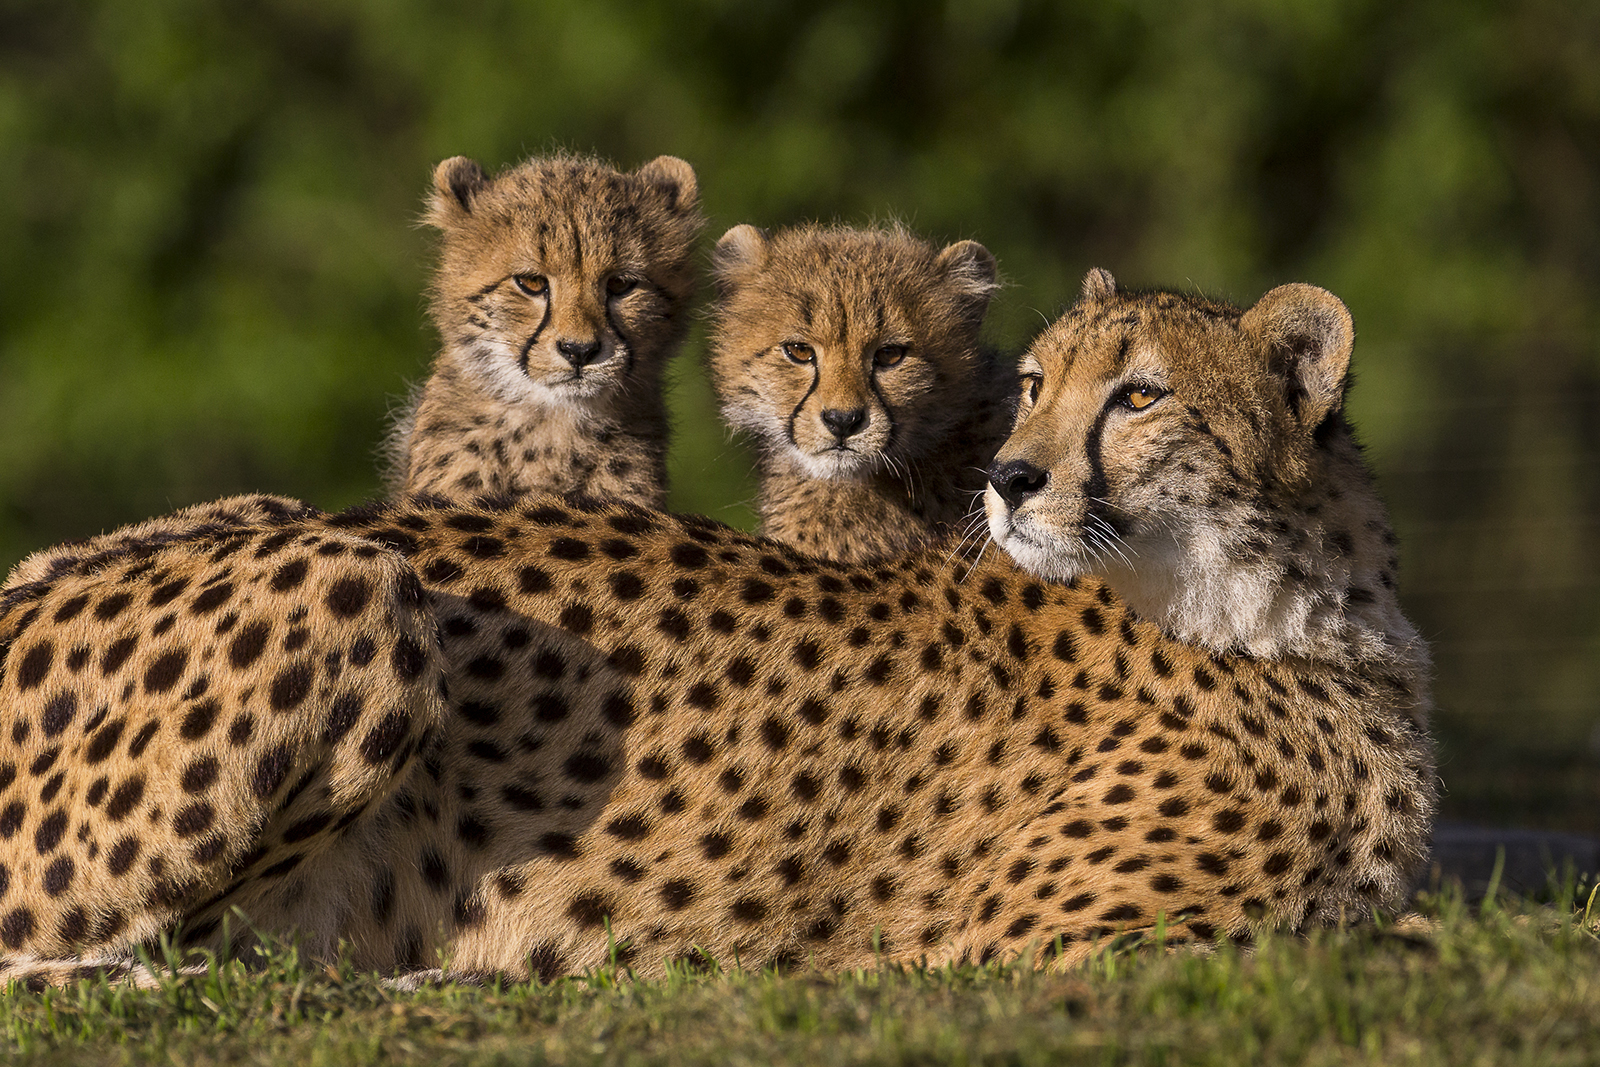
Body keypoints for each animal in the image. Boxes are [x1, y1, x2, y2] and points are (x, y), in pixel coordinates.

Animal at [0, 268, 1427, 985]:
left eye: (1138, 395)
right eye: (1035, 383)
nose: (1010, 479)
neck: (1281, 603)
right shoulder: (1000, 947)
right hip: (353, 573)